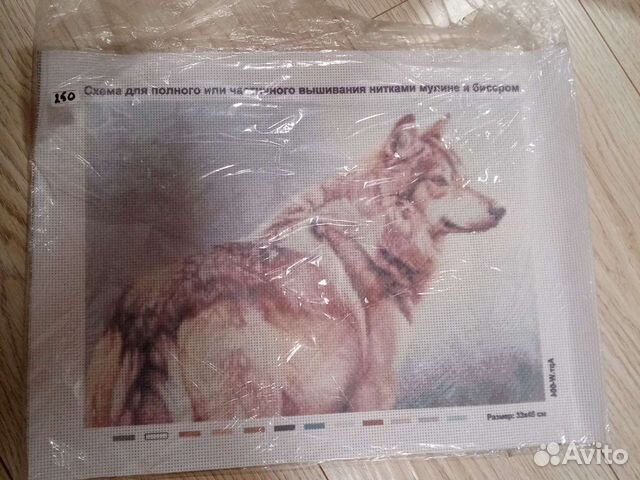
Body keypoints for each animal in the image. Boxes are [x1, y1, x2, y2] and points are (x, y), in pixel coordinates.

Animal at [87, 114, 506, 426]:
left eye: (464, 178)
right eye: (440, 181)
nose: (501, 209)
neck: (371, 230)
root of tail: (149, 313)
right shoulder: (373, 390)